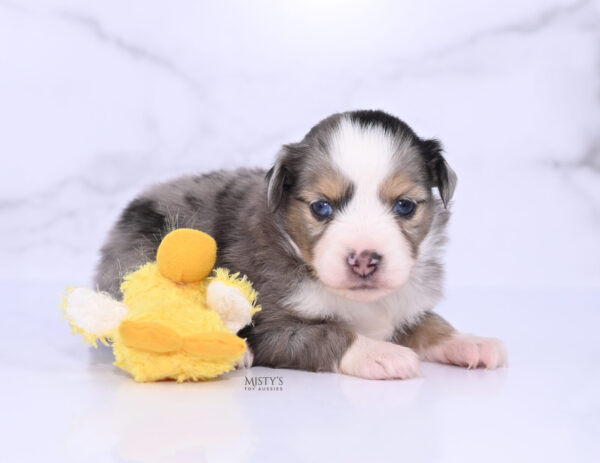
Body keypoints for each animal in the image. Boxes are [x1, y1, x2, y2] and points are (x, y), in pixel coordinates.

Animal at [95, 109, 506, 380]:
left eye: (404, 206)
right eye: (321, 207)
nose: (364, 260)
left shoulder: (404, 301)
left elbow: (429, 321)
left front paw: (469, 342)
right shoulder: (270, 325)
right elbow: (328, 332)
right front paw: (381, 352)